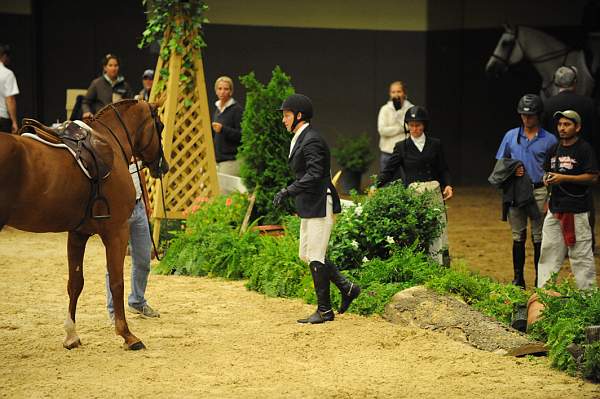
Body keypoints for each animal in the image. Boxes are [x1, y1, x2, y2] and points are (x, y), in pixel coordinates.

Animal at [0, 99, 169, 350]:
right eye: (161, 126)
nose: (164, 166)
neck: (110, 142)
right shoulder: (117, 231)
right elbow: (116, 283)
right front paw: (128, 335)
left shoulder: (78, 233)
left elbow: (75, 283)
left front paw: (71, 335)